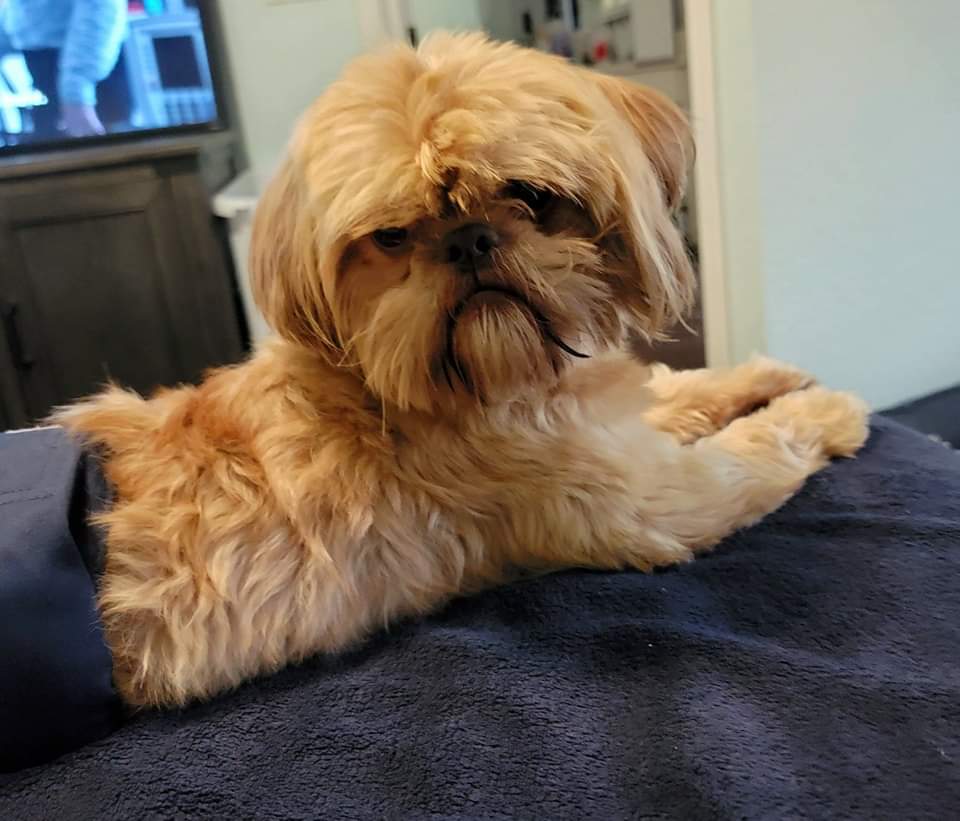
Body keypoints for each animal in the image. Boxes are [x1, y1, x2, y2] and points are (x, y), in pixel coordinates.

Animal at [56, 33, 868, 708]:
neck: (490, 384)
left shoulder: (607, 422)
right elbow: (758, 453)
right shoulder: (659, 500)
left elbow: (681, 390)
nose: (469, 239)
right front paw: (825, 411)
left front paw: (763, 377)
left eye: (531, 196)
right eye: (390, 236)